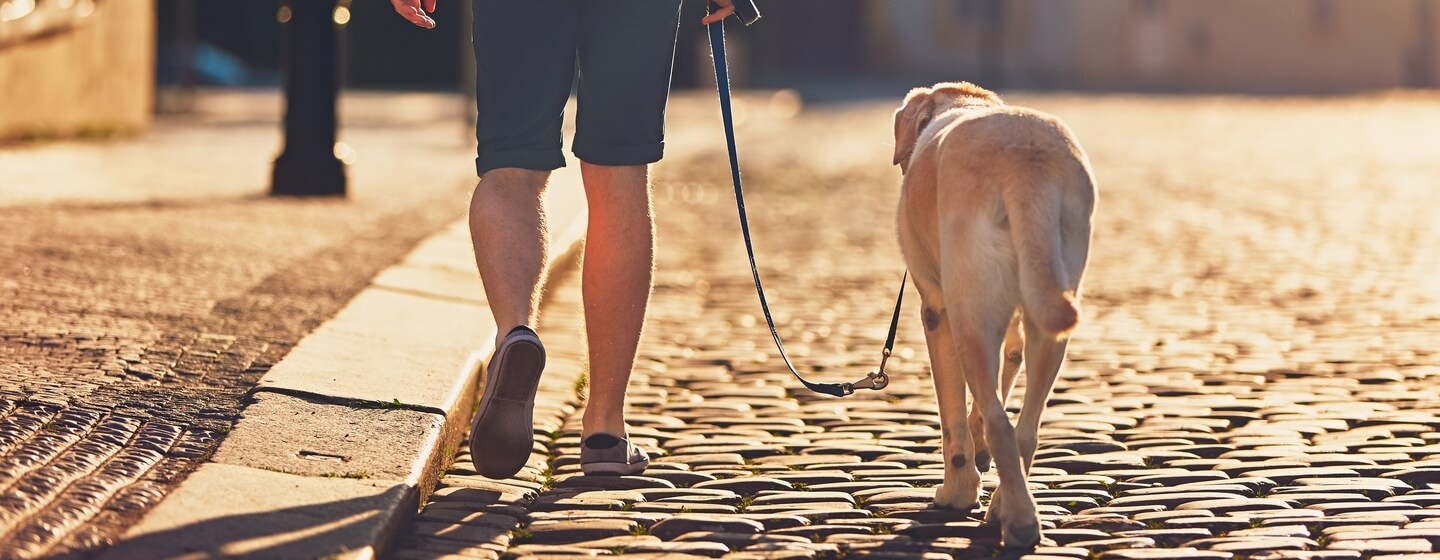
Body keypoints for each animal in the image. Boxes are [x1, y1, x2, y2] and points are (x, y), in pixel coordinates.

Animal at [892, 82, 1094, 544]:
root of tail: (1024, 164)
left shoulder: (936, 311)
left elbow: (954, 417)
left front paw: (957, 492)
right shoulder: (1013, 324)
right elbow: (1001, 380)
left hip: (969, 315)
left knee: (1002, 421)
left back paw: (1014, 519)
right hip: (1049, 316)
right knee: (1026, 427)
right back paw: (1007, 504)